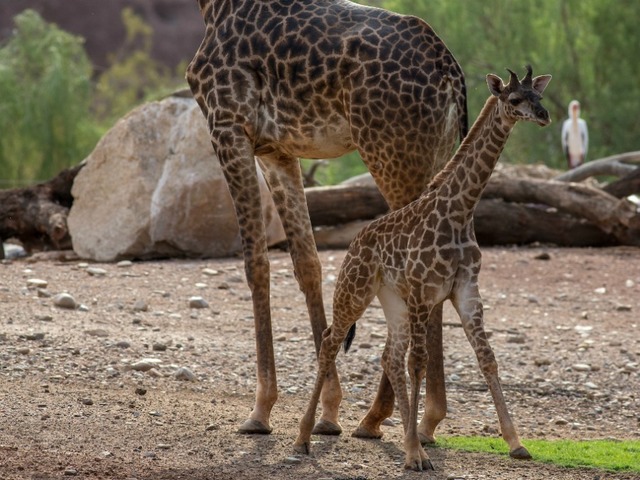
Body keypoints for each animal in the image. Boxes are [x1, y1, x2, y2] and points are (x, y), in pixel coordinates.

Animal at [186, 0, 467, 435]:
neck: (211, 8)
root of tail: (450, 71)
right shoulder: (276, 149)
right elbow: (307, 264)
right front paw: (329, 410)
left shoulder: (229, 127)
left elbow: (256, 264)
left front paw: (261, 409)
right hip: (434, 158)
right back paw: (408, 417)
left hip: (393, 156)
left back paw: (394, 416)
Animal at [294, 65, 552, 470]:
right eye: (514, 99)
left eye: (538, 96)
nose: (543, 115)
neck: (460, 210)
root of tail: (354, 244)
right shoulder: (421, 290)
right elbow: (419, 363)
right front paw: (415, 453)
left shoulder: (465, 291)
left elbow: (487, 359)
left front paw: (516, 443)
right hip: (355, 291)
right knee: (331, 342)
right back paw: (303, 437)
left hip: (392, 302)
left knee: (389, 356)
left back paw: (385, 432)